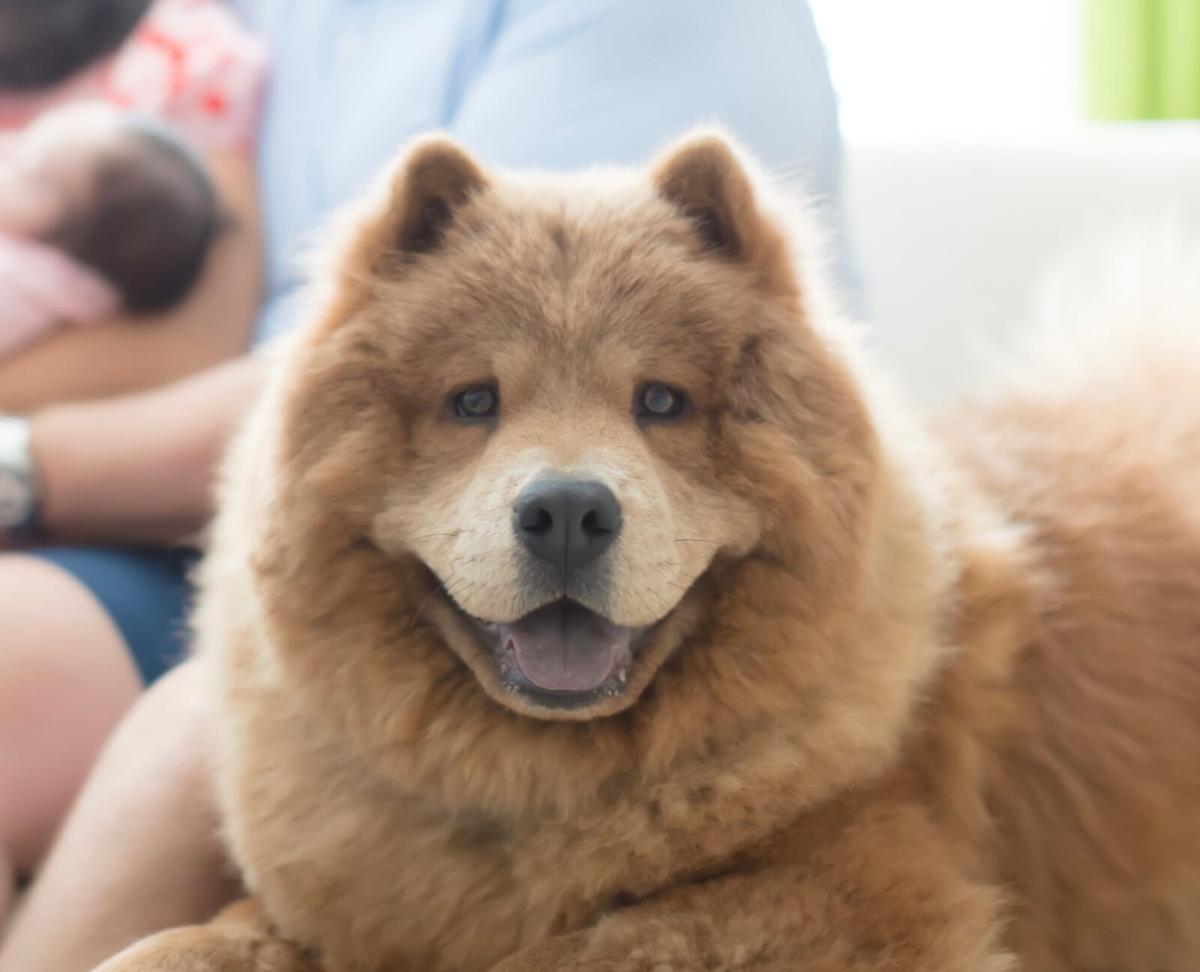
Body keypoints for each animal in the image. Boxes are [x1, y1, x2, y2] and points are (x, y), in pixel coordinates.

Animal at [98, 130, 1200, 969]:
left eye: (660, 402)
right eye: (473, 403)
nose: (567, 510)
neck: (533, 790)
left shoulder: (862, 898)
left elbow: (583, 947)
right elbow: (198, 936)